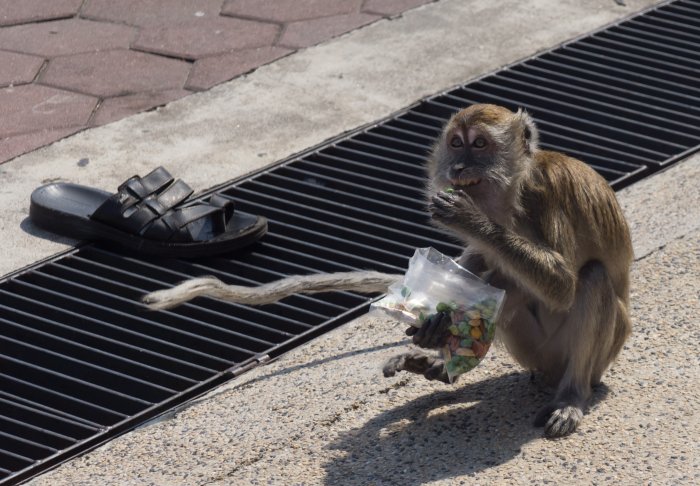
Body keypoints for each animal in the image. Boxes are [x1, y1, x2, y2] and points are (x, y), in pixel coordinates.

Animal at [144, 104, 636, 438]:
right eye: (456, 143)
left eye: (479, 144)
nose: (459, 166)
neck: (514, 195)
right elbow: (479, 267)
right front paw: (435, 322)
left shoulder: (552, 192)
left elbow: (562, 284)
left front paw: (470, 221)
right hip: (533, 352)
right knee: (504, 281)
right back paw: (441, 358)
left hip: (591, 357)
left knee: (591, 279)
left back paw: (570, 396)